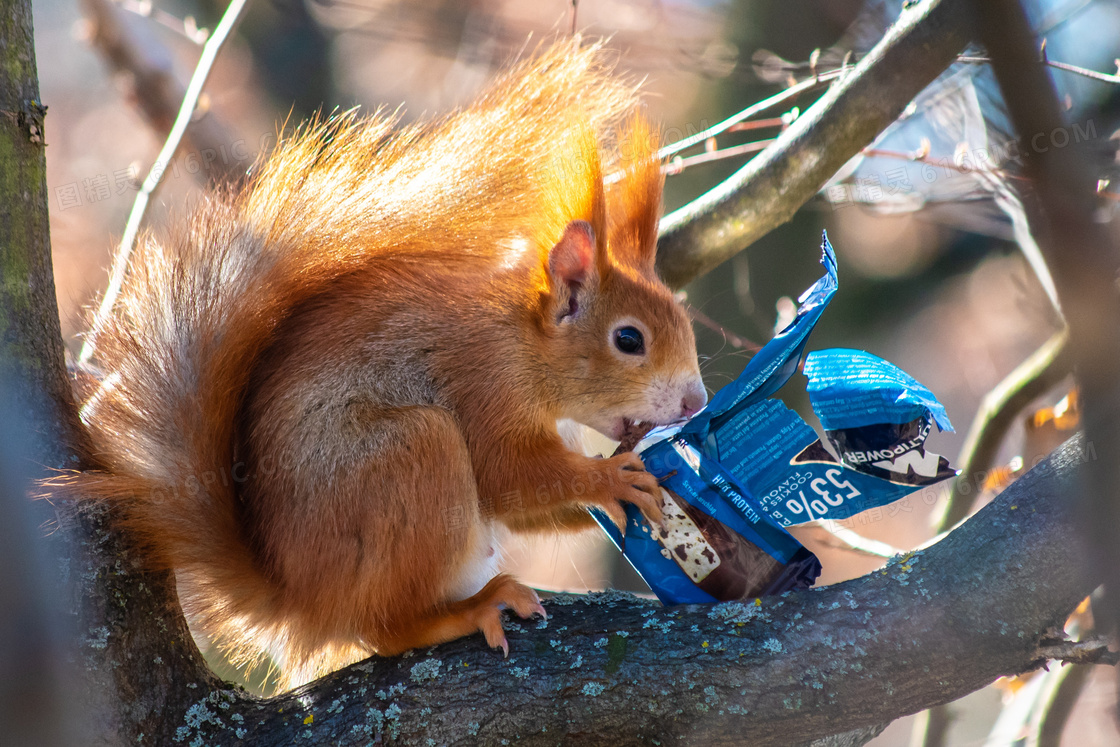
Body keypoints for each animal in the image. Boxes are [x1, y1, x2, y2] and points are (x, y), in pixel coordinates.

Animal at [65, 42, 703, 689]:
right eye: (629, 339)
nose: (696, 402)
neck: (523, 344)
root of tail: (301, 604)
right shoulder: (483, 383)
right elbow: (508, 475)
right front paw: (610, 478)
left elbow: (525, 508)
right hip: (411, 458)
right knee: (385, 628)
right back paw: (469, 610)